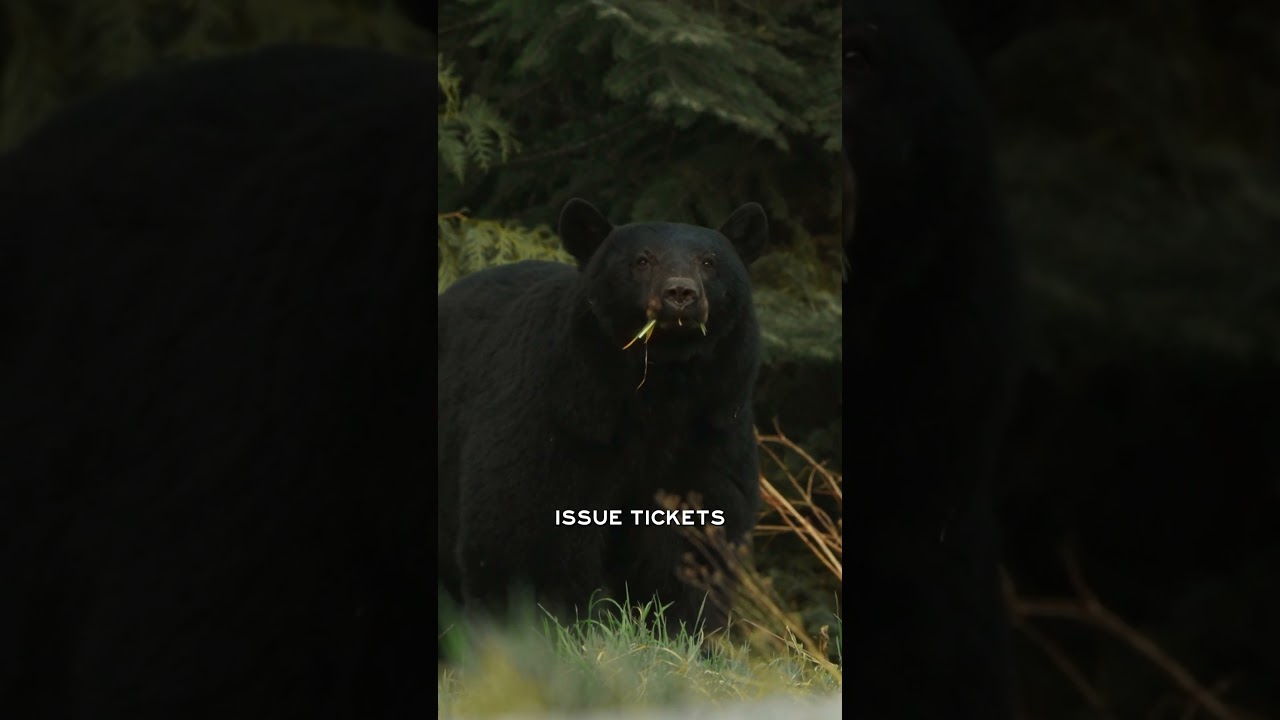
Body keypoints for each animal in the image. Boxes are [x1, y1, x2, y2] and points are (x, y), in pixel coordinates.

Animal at [437, 199, 768, 646]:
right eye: (642, 260)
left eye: (709, 261)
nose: (680, 293)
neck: (658, 391)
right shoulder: (559, 417)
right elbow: (526, 529)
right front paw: (537, 634)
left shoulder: (710, 428)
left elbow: (691, 536)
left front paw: (684, 633)